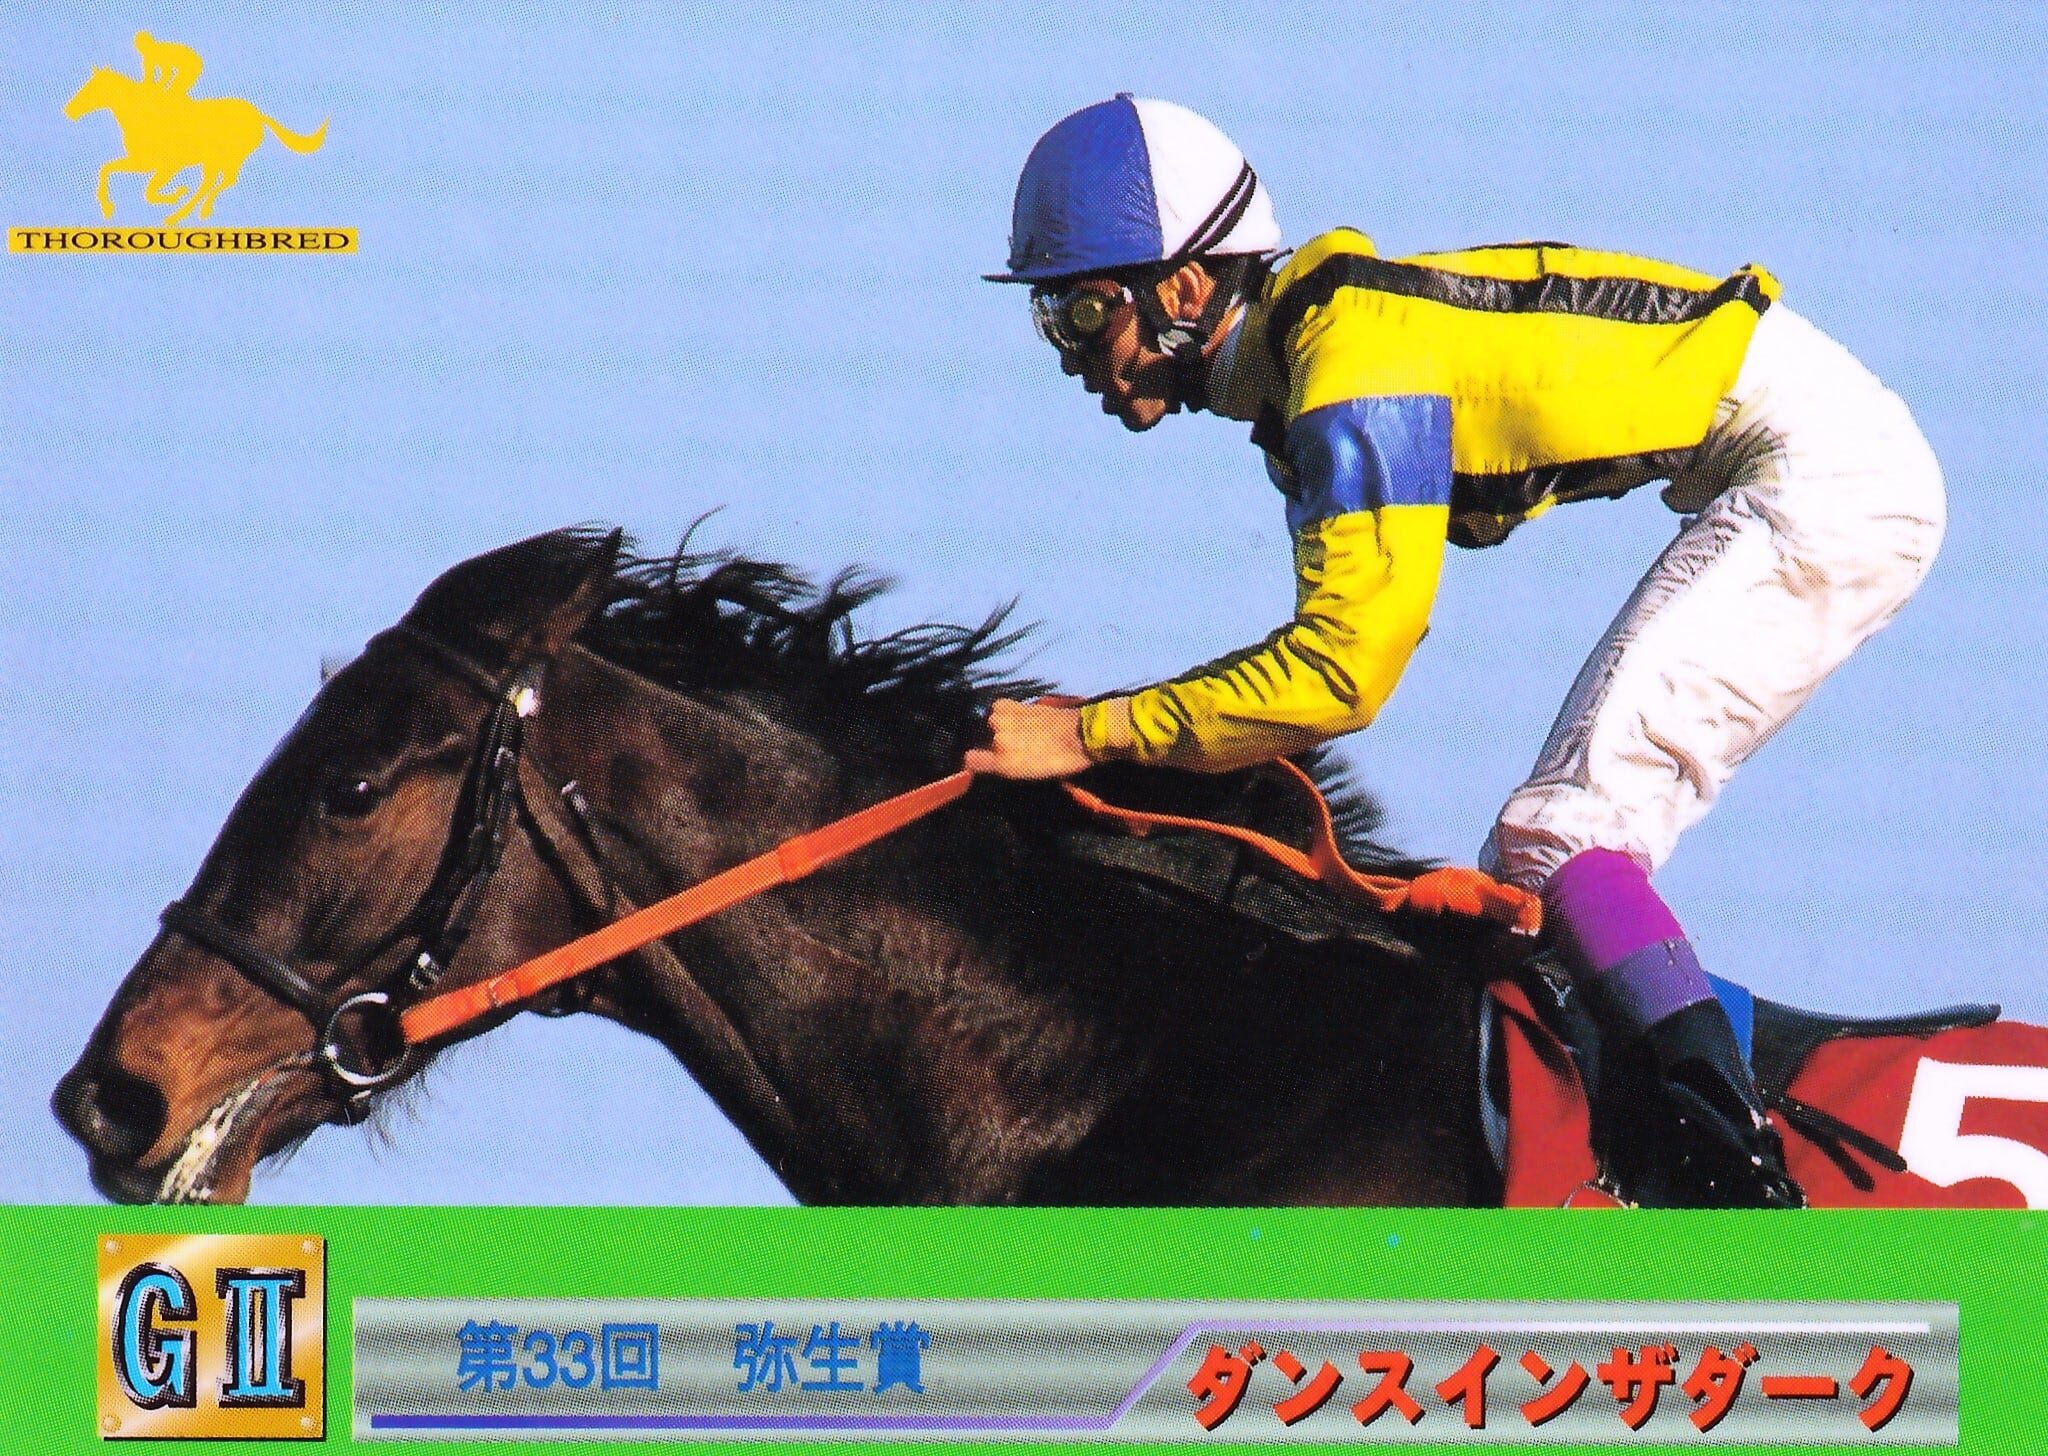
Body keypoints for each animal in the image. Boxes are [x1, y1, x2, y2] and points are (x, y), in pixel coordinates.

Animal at [63, 67, 328, 227]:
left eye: (92, 88)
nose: (69, 111)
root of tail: (258, 116)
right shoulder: (142, 162)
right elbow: (107, 169)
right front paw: (108, 207)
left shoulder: (168, 165)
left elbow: (149, 192)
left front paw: (176, 193)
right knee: (212, 183)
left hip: (227, 158)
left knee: (219, 183)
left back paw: (186, 213)